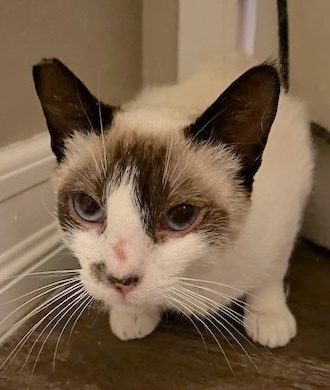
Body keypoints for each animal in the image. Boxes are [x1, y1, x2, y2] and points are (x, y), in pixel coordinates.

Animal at [33, 51, 314, 348]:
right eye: (87, 207)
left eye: (182, 216)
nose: (120, 280)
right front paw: (132, 316)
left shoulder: (286, 215)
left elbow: (271, 275)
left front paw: (269, 317)